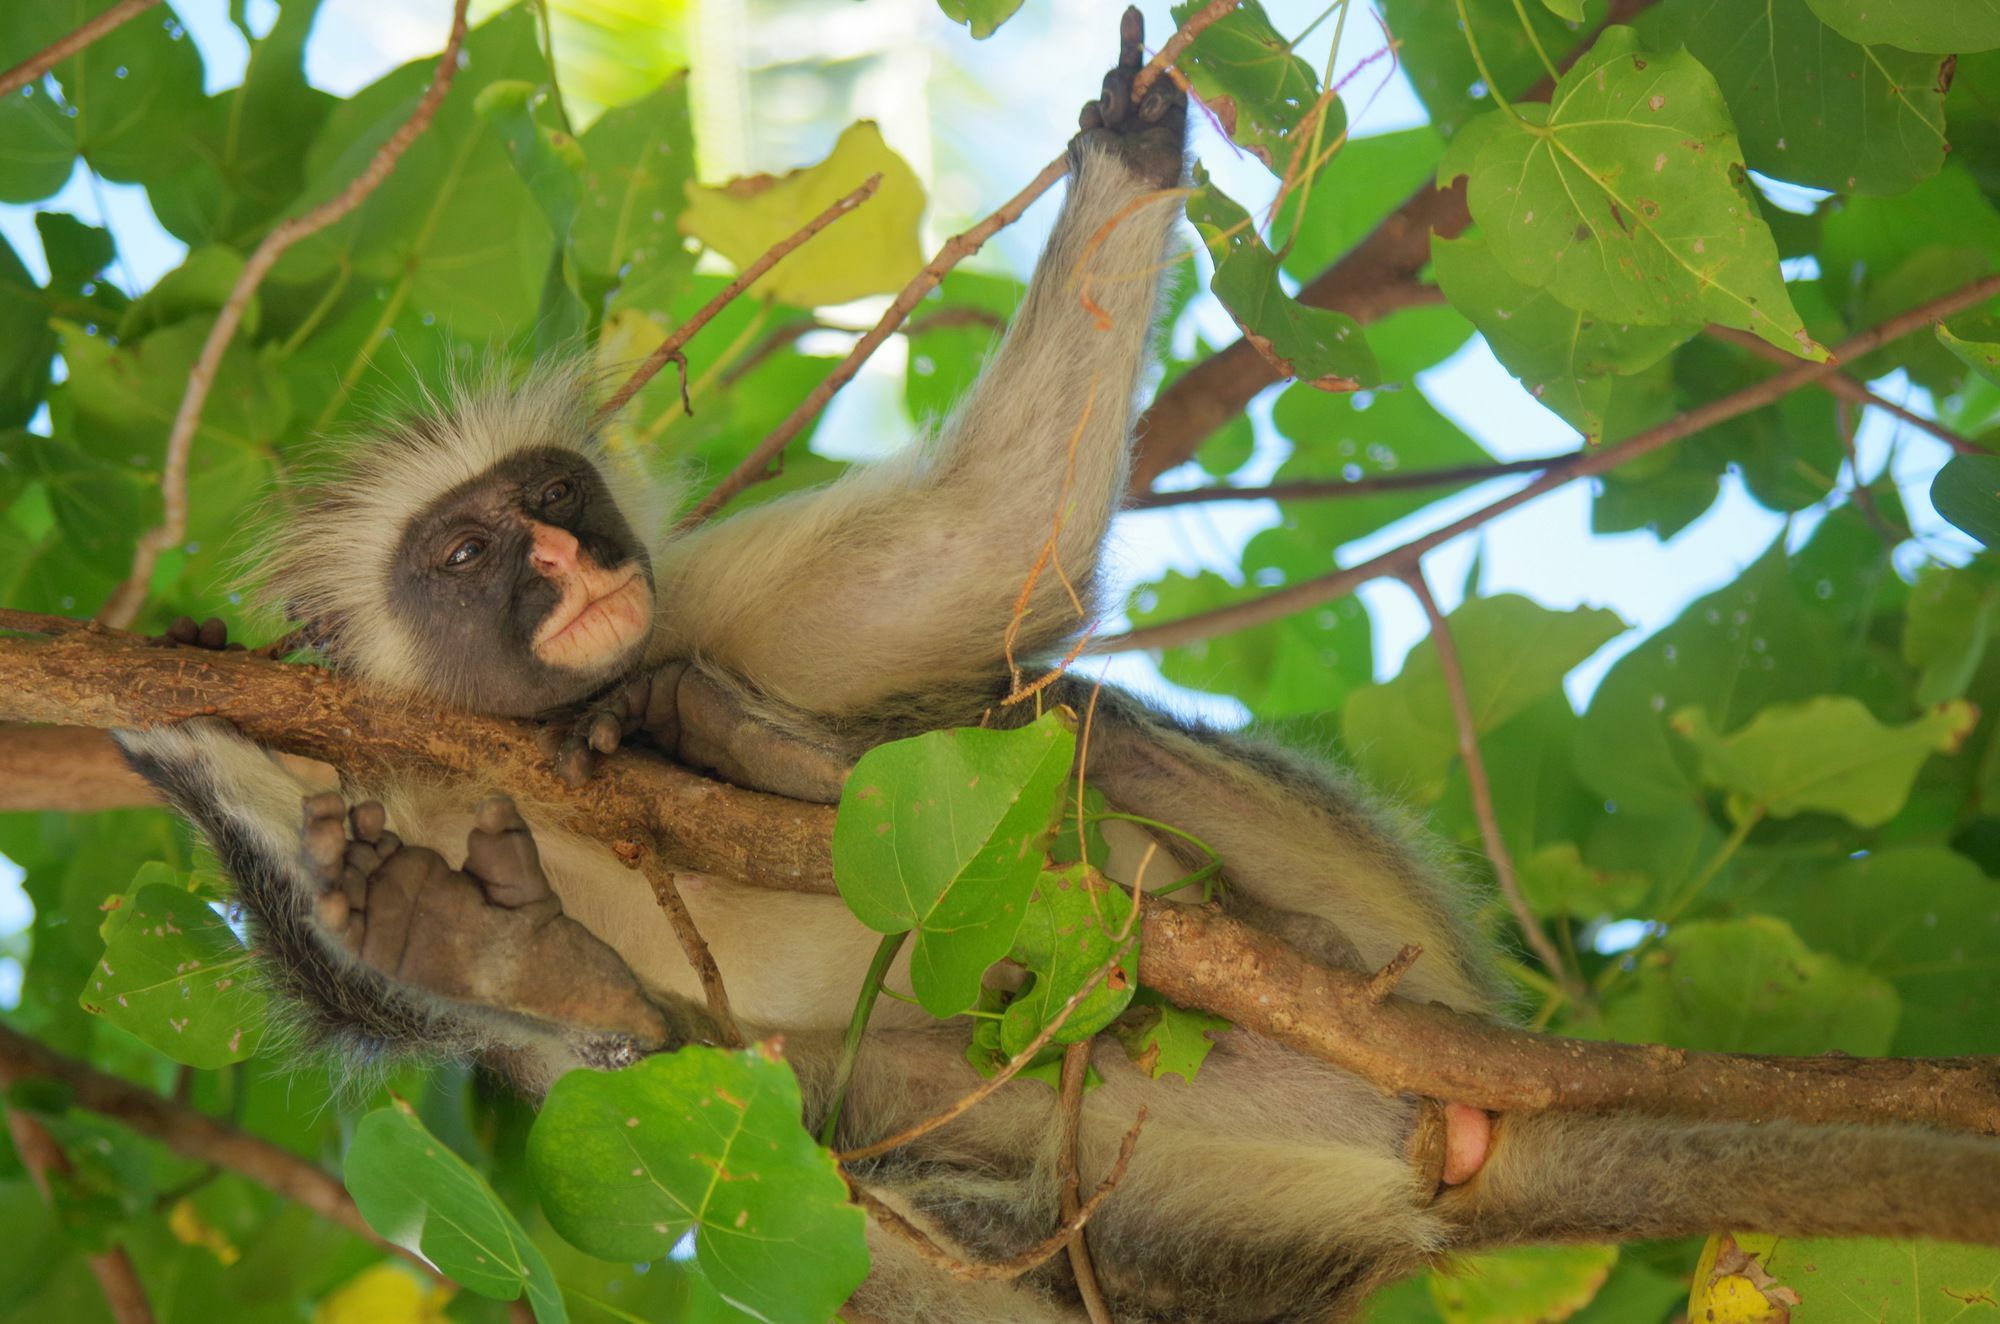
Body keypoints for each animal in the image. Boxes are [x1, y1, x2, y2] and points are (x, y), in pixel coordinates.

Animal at [117, 13, 2000, 1324]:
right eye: (466, 554)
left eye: (561, 503)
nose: (579, 573)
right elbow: (412, 984)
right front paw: (214, 756)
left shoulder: (709, 589)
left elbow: (988, 557)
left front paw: (1136, 137)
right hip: (1156, 1194)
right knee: (793, 1142)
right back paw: (521, 947)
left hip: (1331, 978)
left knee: (1067, 732)